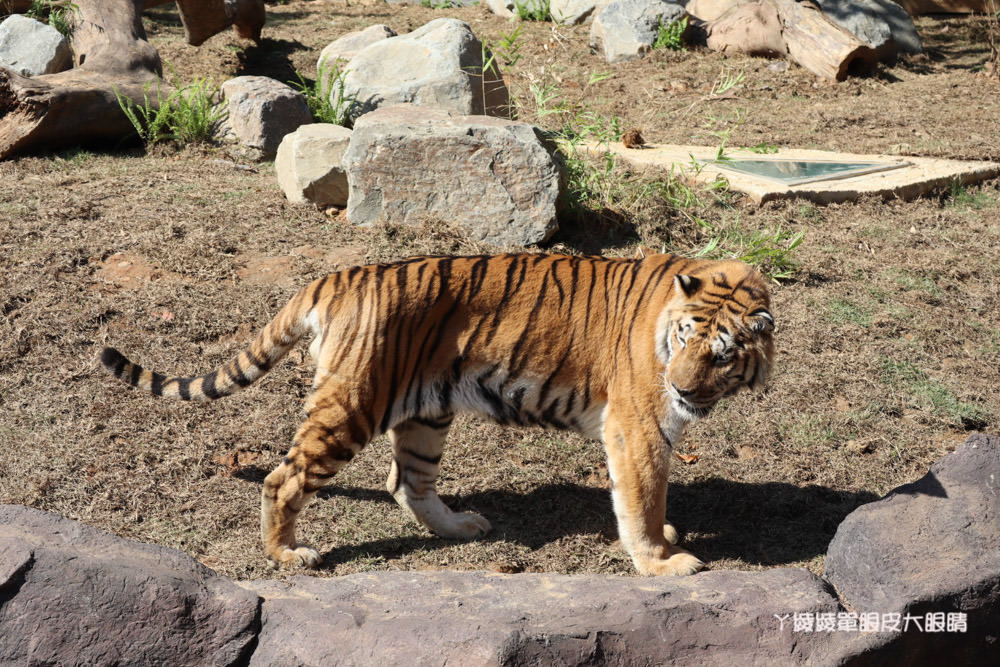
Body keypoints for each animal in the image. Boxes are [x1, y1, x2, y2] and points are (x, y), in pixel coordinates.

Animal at [99, 253, 772, 576]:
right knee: (283, 477)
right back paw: (288, 555)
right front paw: (662, 563)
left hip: (426, 411)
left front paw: (665, 542)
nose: (679, 386)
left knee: (406, 482)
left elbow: (647, 499)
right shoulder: (637, 429)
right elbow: (642, 496)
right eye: (684, 340)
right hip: (352, 404)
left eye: (719, 354)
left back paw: (461, 527)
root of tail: (338, 276)